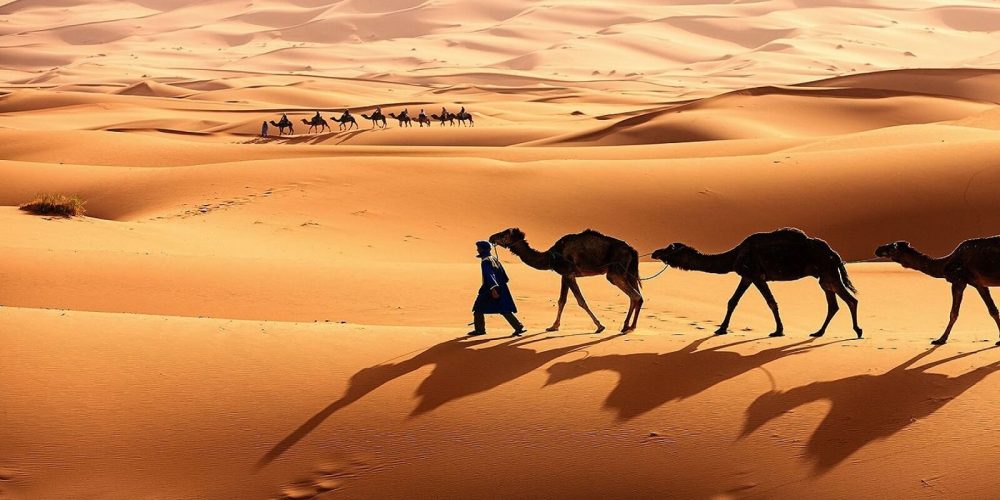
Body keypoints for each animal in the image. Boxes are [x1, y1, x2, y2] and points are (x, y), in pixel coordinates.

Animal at [490, 229, 644, 334]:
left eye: (504, 235)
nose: (491, 237)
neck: (551, 256)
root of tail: (632, 250)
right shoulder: (564, 275)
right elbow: (562, 300)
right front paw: (553, 326)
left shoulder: (569, 274)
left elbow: (581, 301)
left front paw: (599, 326)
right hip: (629, 272)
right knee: (639, 297)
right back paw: (629, 326)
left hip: (615, 273)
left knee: (634, 295)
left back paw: (627, 327)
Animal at [656, 228, 860, 338]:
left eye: (670, 249)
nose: (655, 253)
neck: (735, 255)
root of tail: (834, 253)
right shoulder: (747, 276)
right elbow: (732, 301)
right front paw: (721, 328)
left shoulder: (755, 275)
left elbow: (771, 302)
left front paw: (778, 331)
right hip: (824, 277)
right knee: (833, 304)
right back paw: (818, 332)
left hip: (829, 271)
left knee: (851, 300)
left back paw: (857, 331)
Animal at [872, 237, 1000, 344]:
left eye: (892, 247)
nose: (878, 249)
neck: (945, 264)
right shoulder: (979, 284)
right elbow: (993, 310)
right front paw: (999, 340)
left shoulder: (958, 281)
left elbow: (953, 313)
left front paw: (940, 339)